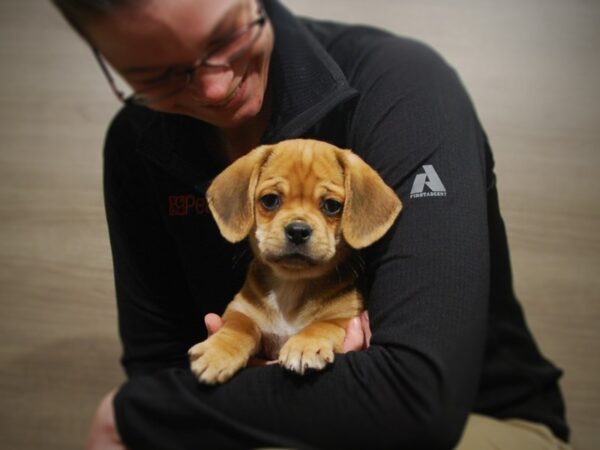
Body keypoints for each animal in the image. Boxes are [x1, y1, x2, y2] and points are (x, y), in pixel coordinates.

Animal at [190, 138, 400, 384]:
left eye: (332, 206)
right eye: (270, 200)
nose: (298, 230)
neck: (292, 282)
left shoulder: (345, 316)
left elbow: (323, 324)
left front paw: (304, 345)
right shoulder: (241, 309)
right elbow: (240, 326)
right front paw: (218, 352)